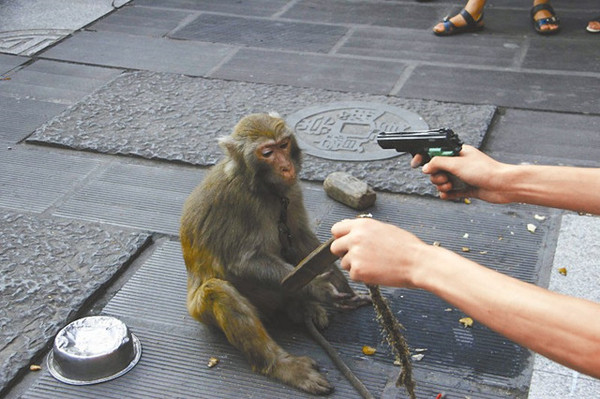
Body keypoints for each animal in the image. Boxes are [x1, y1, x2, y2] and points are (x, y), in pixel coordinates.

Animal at [180, 113, 372, 396]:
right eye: (267, 153)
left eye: (283, 145)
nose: (285, 167)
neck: (262, 188)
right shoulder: (237, 200)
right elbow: (242, 263)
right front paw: (318, 288)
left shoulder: (291, 191)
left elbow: (301, 238)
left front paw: (341, 286)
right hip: (206, 311)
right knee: (219, 291)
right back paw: (281, 365)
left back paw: (304, 307)